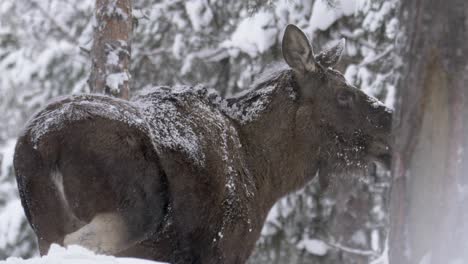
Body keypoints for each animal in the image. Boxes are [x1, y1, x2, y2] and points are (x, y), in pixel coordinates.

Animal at [12, 25, 392, 264]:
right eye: (344, 95)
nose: (391, 123)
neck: (267, 173)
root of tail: (39, 144)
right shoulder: (223, 250)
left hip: (46, 227)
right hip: (134, 212)